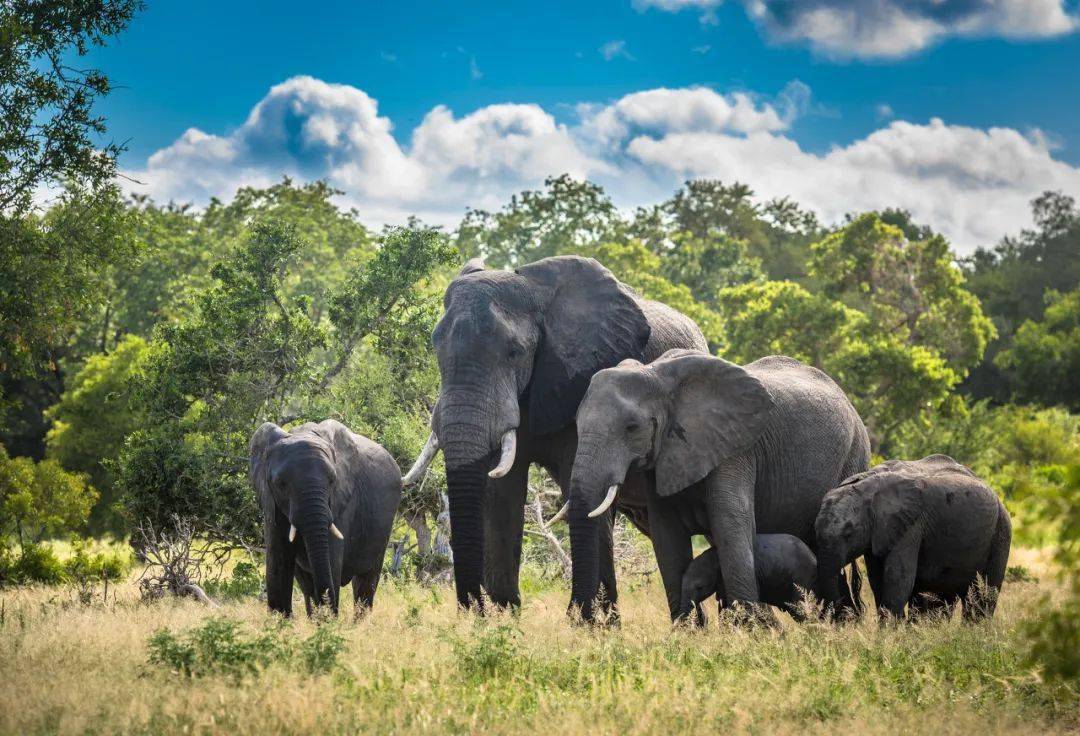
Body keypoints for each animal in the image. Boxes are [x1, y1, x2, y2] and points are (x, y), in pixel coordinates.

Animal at [247, 419, 401, 613]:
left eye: (332, 480)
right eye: (280, 484)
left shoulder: (341, 501)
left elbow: (332, 563)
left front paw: (327, 619)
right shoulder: (271, 503)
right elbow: (278, 564)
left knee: (365, 584)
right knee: (307, 586)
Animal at [401, 255, 704, 609]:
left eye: (514, 352)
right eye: (436, 348)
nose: (474, 609)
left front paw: (592, 620)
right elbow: (502, 494)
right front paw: (506, 614)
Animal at [816, 453, 1010, 618]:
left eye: (848, 533)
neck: (865, 485)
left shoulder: (910, 526)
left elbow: (897, 579)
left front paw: (888, 632)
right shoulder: (878, 532)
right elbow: (877, 580)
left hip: (1001, 533)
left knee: (982, 596)